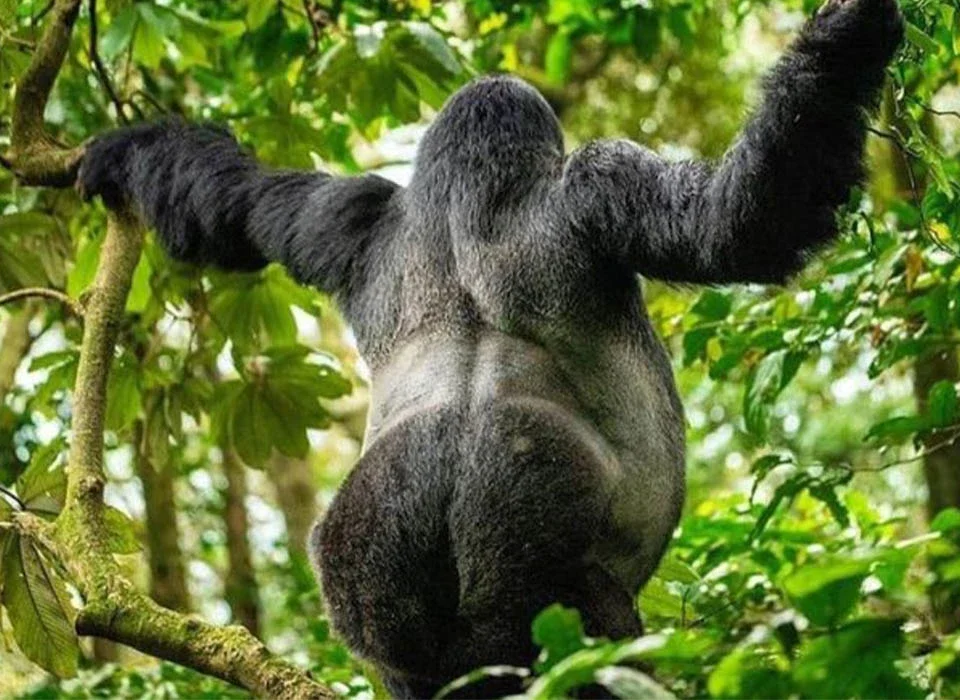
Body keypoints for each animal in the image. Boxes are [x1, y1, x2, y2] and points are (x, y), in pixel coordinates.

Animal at [78, 0, 904, 695]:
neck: (460, 196)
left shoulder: (351, 212)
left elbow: (237, 206)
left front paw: (124, 151)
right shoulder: (596, 180)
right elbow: (745, 223)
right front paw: (849, 38)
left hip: (371, 558)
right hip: (537, 546)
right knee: (583, 639)